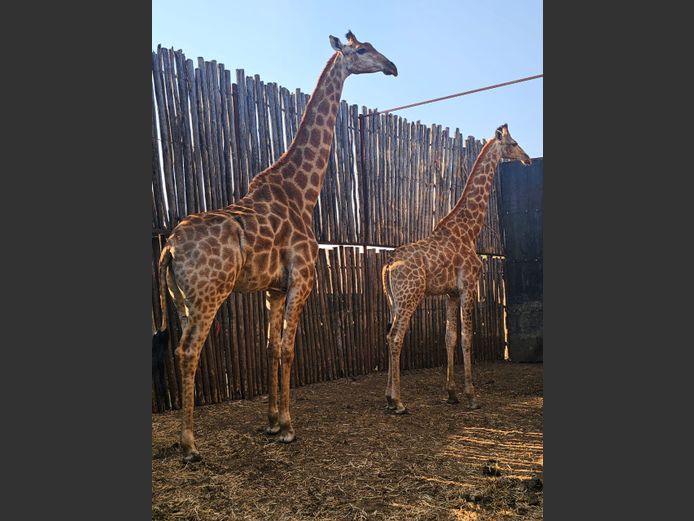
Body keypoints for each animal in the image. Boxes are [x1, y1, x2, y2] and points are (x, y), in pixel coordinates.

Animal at [154, 31, 397, 462]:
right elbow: (287, 350)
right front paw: (287, 427)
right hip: (208, 295)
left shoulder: (273, 289)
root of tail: (169, 248)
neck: (302, 192)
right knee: (187, 351)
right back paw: (190, 445)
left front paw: (270, 422)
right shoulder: (302, 280)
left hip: (181, 299)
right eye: (362, 49)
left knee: (181, 349)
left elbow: (270, 348)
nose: (392, 66)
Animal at [381, 124, 531, 414]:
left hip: (394, 300)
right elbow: (466, 337)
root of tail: (389, 263)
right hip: (410, 296)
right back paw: (399, 402)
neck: (470, 230)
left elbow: (450, 337)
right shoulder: (469, 286)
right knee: (395, 337)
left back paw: (388, 397)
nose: (528, 159)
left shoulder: (450, 293)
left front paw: (451, 393)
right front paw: (471, 396)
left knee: (388, 335)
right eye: (514, 143)